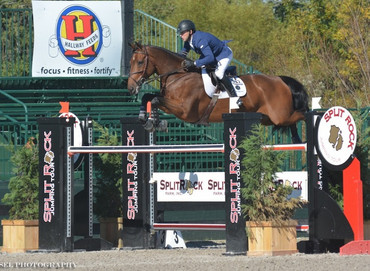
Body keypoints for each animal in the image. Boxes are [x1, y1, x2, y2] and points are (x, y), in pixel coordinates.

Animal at [127, 42, 310, 143]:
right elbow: (149, 97)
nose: (130, 87)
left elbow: (155, 100)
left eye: (140, 62)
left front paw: (156, 122)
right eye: (130, 62)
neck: (178, 75)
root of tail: (280, 80)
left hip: (280, 116)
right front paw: (146, 119)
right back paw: (296, 139)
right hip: (268, 118)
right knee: (292, 121)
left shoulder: (185, 111)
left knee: (301, 114)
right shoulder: (170, 103)